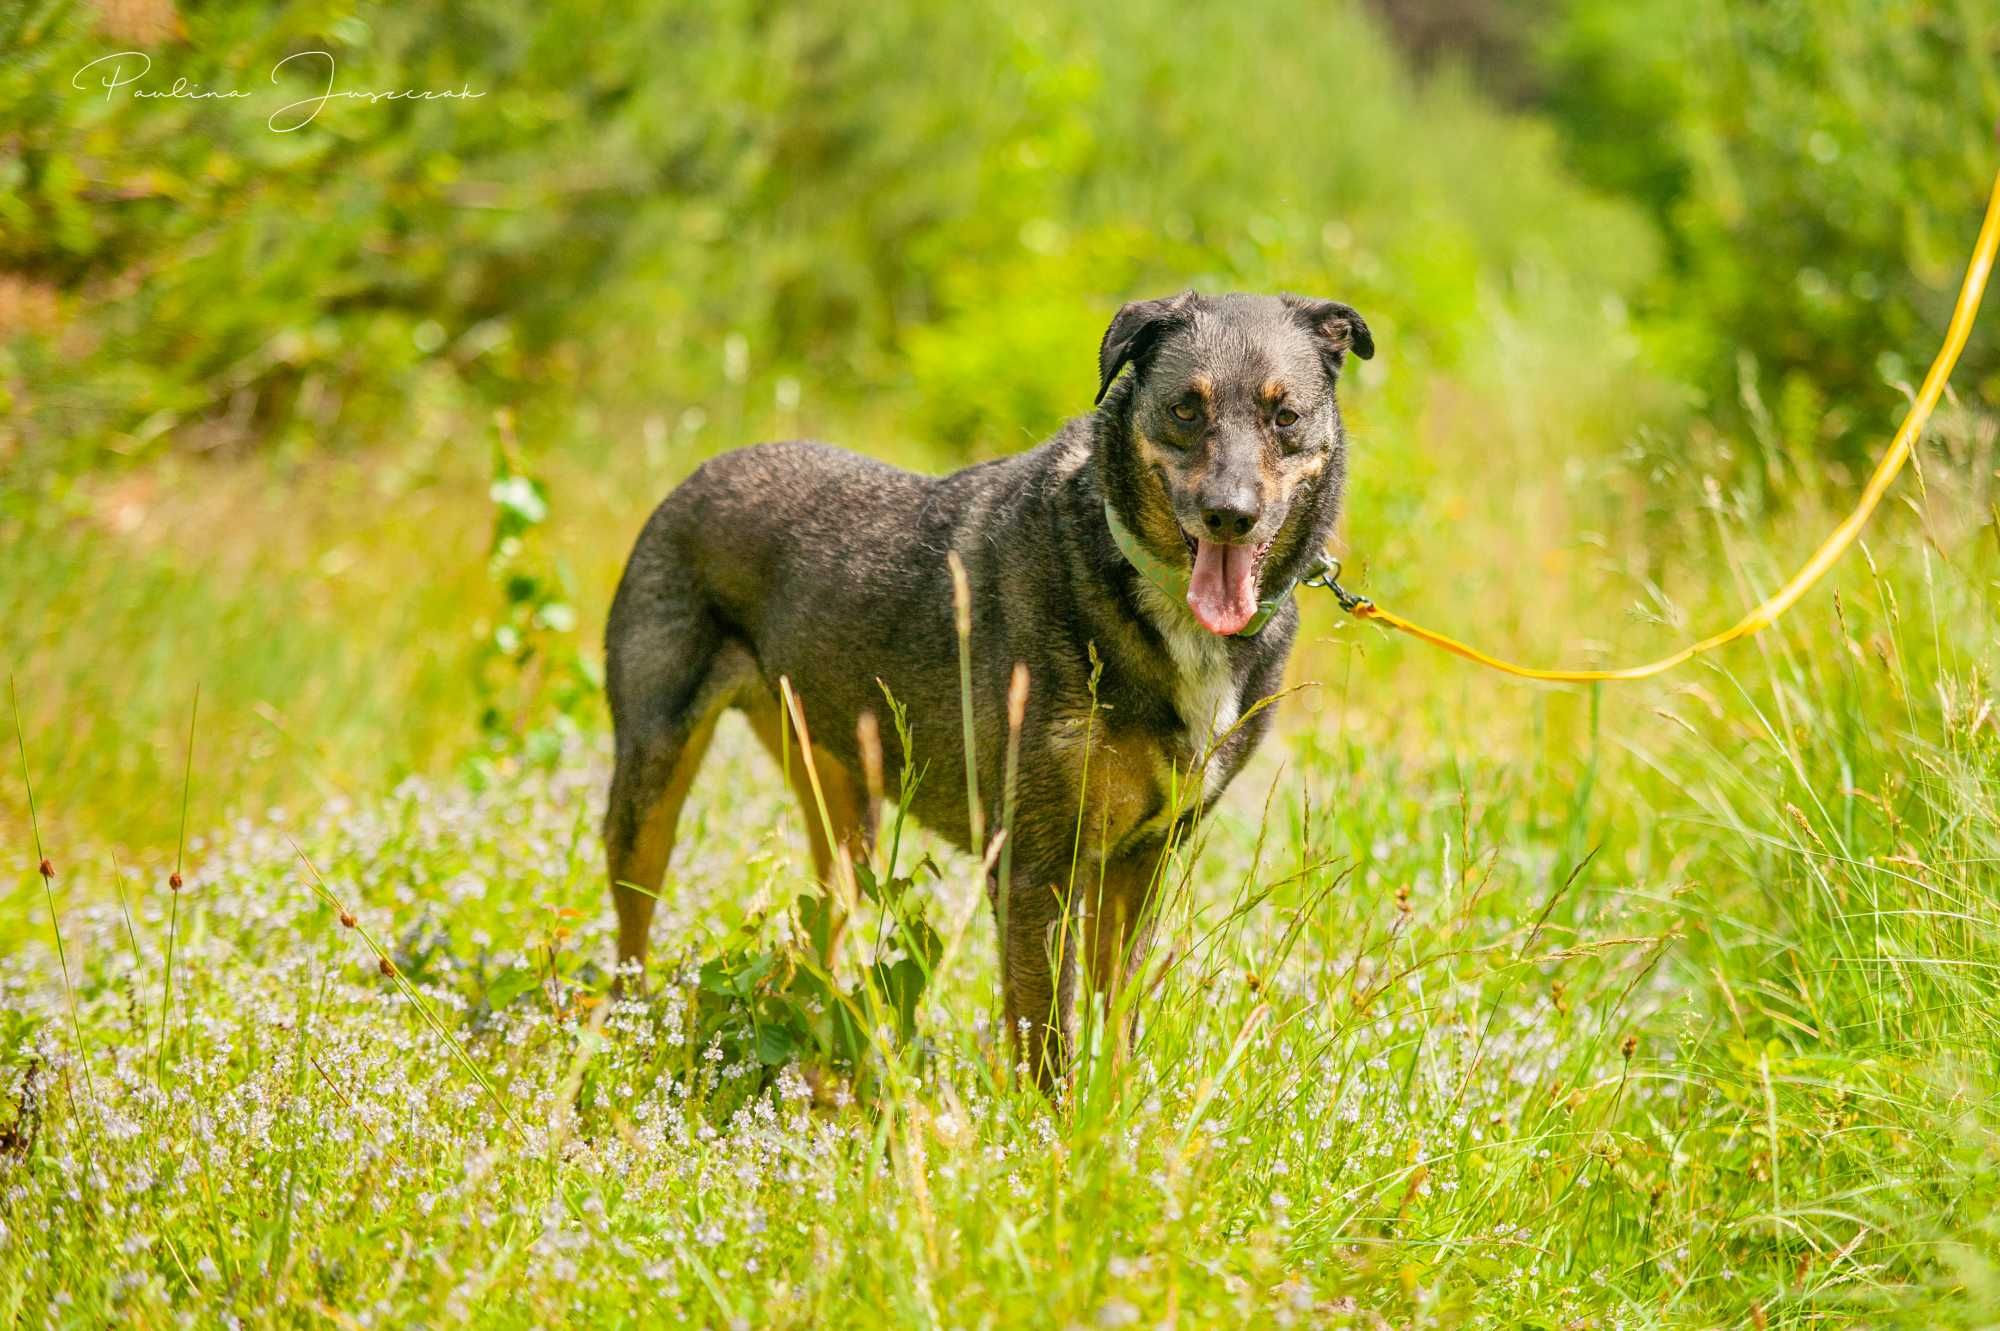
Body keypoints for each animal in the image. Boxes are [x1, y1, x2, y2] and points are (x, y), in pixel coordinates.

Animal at [600, 285, 1368, 1087]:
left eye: (1285, 417)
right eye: (1186, 409)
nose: (1229, 514)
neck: (1137, 581)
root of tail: (698, 474)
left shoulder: (1143, 858)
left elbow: (1116, 1019)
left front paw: (1115, 1111)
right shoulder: (1036, 866)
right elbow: (1046, 1038)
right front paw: (1048, 1121)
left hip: (845, 809)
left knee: (822, 930)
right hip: (651, 781)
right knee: (632, 928)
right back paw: (632, 1035)